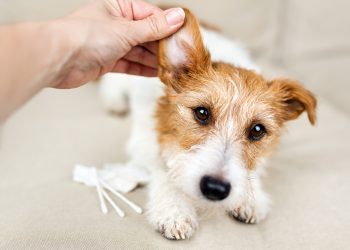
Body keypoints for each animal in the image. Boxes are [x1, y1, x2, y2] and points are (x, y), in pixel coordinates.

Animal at [99, 8, 318, 239]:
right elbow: (163, 171)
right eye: (202, 113)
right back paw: (115, 102)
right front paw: (174, 210)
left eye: (258, 129)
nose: (215, 188)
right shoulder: (144, 142)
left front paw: (251, 197)